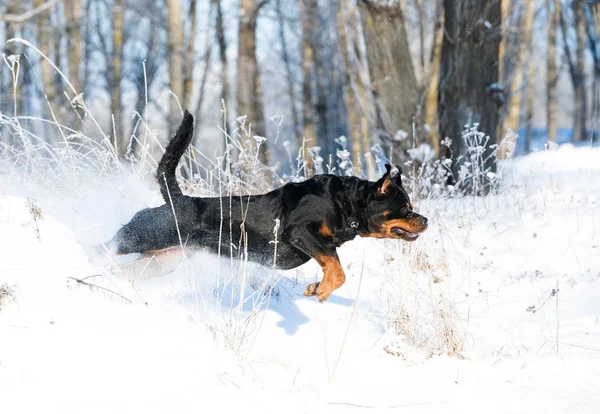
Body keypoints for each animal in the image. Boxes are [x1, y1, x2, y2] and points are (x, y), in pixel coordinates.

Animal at [108, 111, 426, 300]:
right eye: (405, 207)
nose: (425, 220)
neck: (347, 203)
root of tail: (177, 200)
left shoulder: (321, 245)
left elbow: (333, 268)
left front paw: (317, 288)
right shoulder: (300, 232)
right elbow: (337, 271)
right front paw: (321, 290)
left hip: (163, 260)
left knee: (126, 270)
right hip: (139, 237)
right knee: (107, 249)